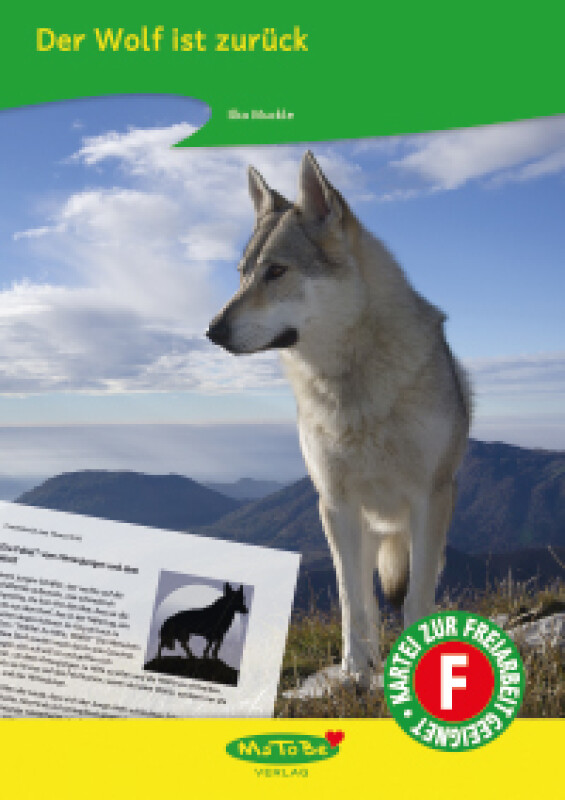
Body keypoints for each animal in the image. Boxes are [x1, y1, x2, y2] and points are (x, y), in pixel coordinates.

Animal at [206, 151, 471, 686]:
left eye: (276, 271)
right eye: (242, 274)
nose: (212, 330)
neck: (352, 386)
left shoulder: (430, 496)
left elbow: (414, 598)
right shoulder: (334, 503)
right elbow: (353, 600)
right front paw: (356, 672)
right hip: (364, 529)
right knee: (366, 595)